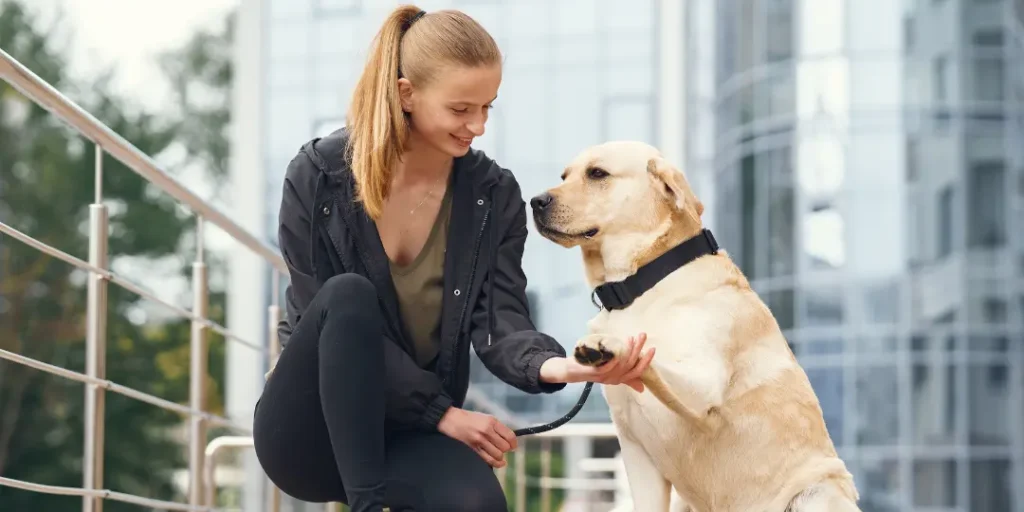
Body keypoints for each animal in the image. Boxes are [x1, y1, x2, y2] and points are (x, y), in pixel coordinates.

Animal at [532, 141, 860, 512]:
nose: (535, 201)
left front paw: (612, 344)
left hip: (818, 492)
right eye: (564, 176)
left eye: (597, 173)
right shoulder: (634, 448)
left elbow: (652, 356)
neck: (638, 286)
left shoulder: (702, 387)